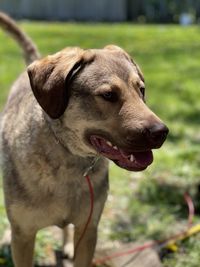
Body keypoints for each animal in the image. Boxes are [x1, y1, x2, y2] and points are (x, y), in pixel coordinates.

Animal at [0, 12, 169, 267]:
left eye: (141, 90)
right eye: (108, 95)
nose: (162, 132)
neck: (69, 157)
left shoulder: (89, 229)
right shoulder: (24, 236)